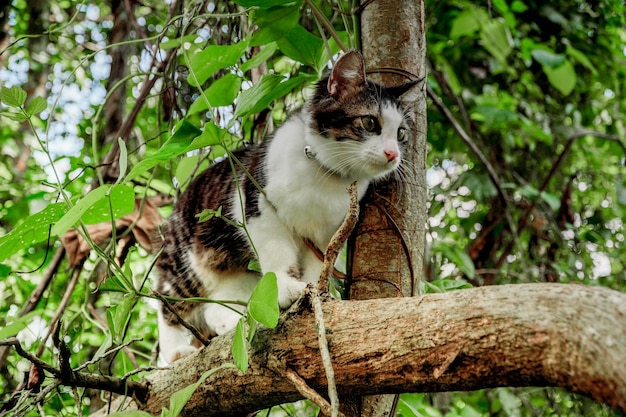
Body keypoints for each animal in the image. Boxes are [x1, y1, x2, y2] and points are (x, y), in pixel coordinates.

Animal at [154, 50, 414, 362]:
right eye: (370, 123)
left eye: (401, 134)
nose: (393, 154)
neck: (325, 177)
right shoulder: (257, 208)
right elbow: (277, 254)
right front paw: (287, 285)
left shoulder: (327, 234)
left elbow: (318, 267)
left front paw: (317, 294)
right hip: (185, 263)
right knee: (167, 305)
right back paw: (174, 353)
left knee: (216, 304)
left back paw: (231, 320)